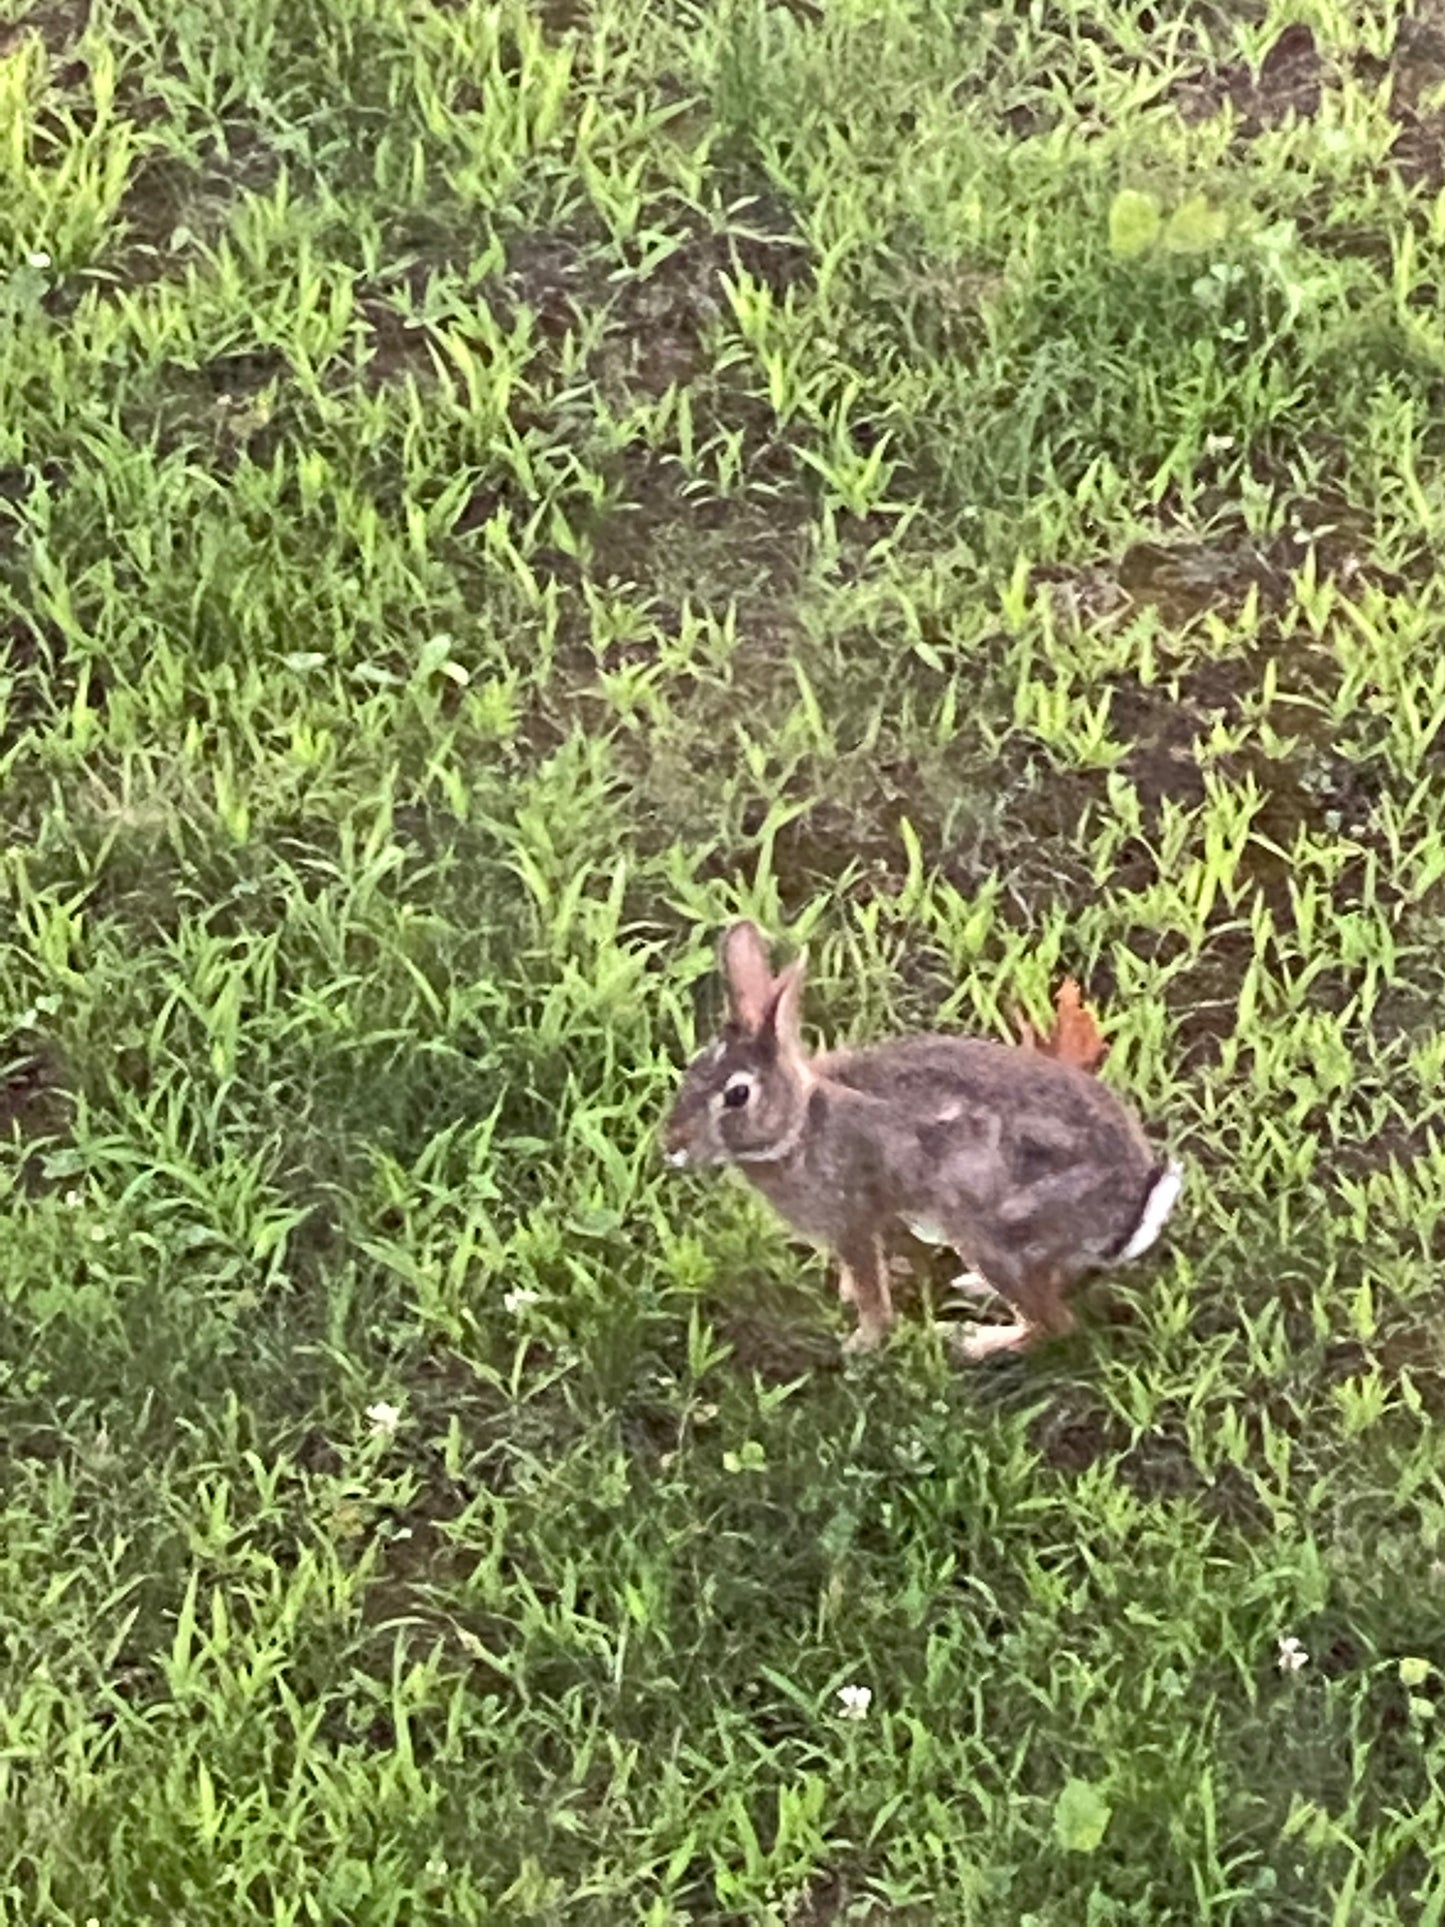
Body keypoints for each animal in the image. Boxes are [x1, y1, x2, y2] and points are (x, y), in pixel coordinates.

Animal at [662, 921, 1182, 1360]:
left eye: (737, 1095)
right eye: (692, 1070)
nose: (672, 1146)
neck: (801, 1120)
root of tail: (1131, 1207)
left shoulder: (853, 1222)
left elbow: (870, 1287)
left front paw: (862, 1343)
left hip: (991, 1232)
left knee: (1055, 1324)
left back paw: (971, 1342)